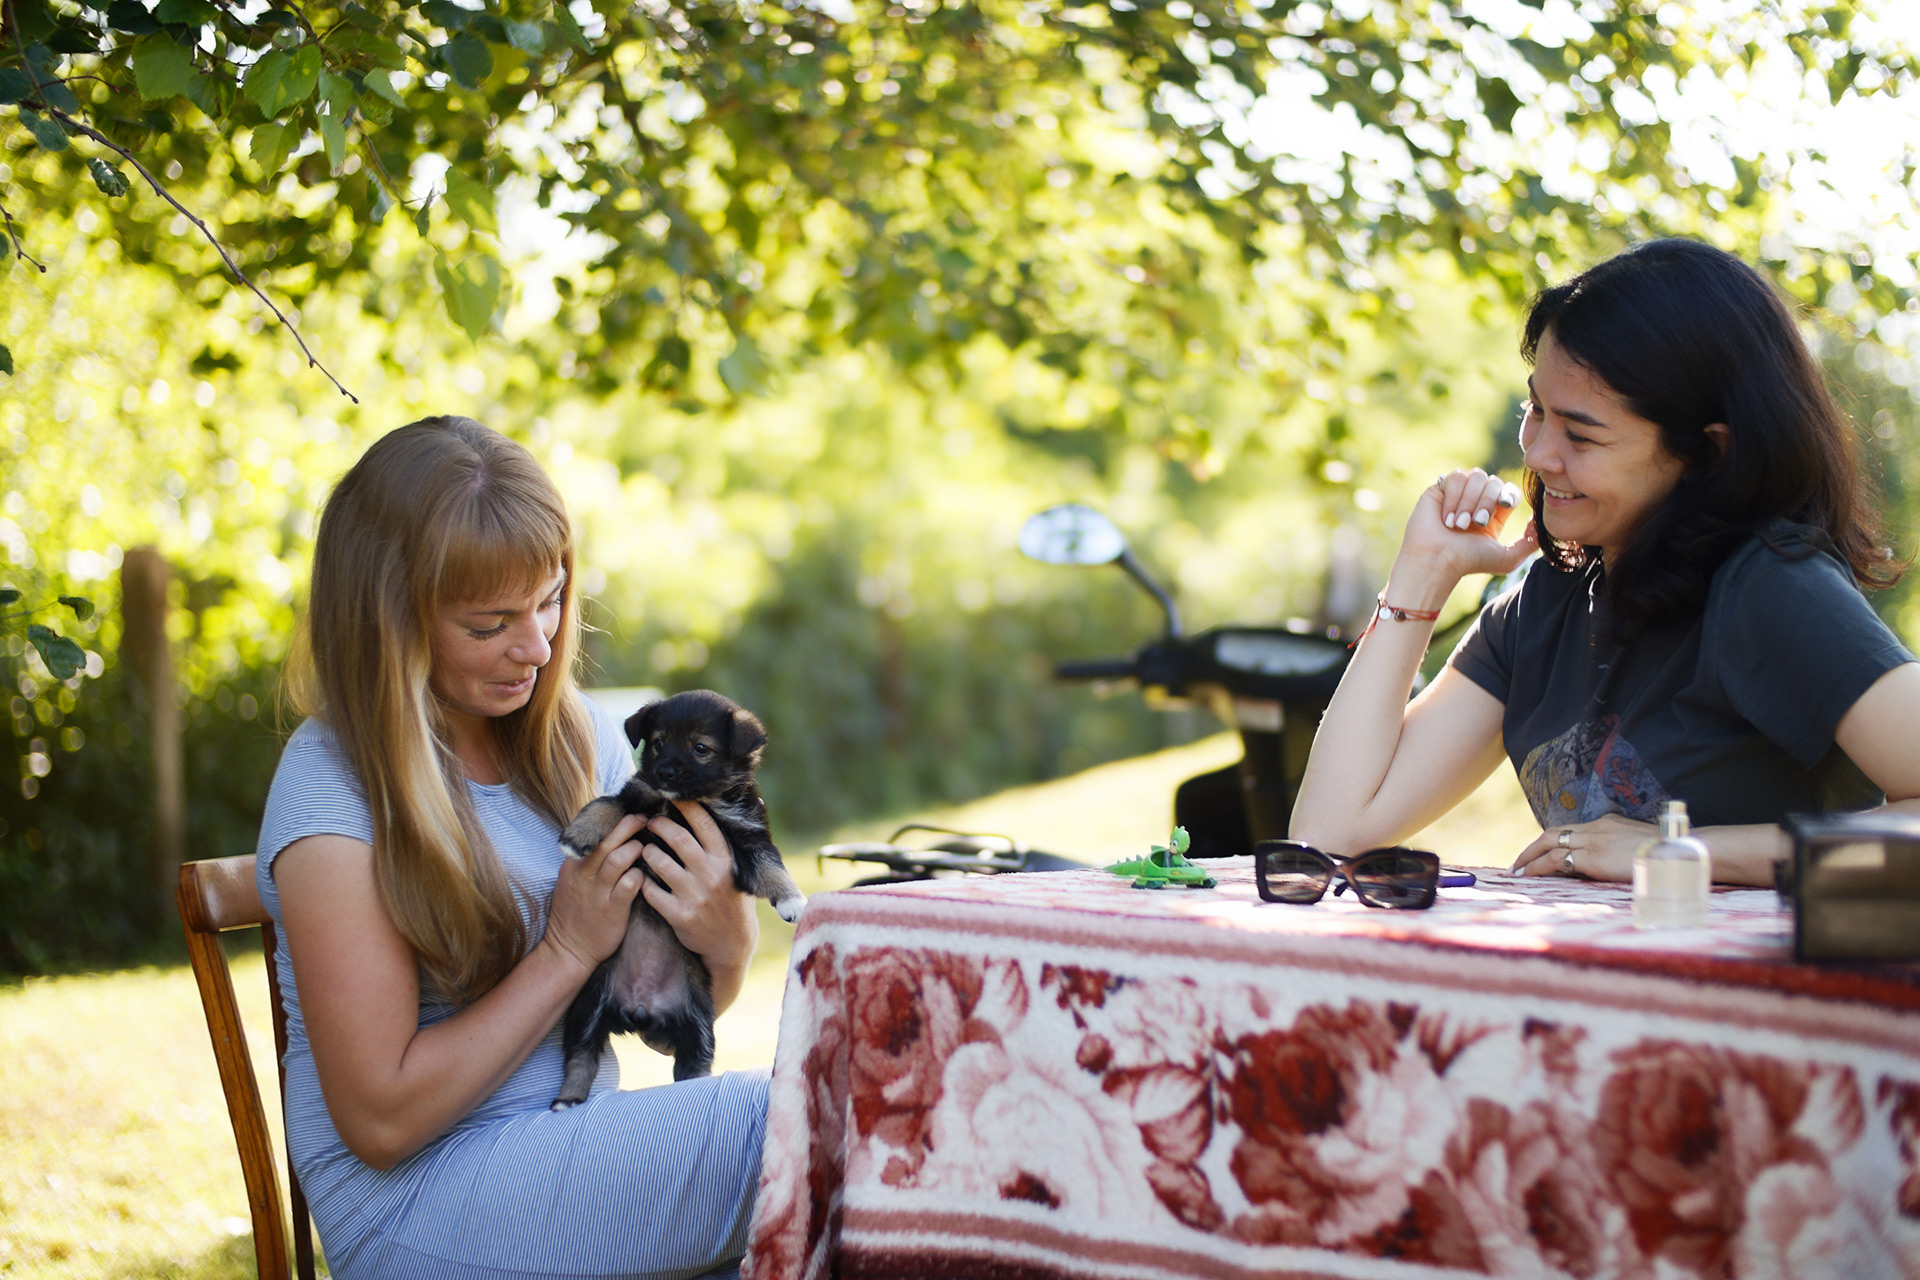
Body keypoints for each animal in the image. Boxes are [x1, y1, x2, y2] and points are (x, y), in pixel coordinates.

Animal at [550, 689, 804, 1107]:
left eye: (701, 748)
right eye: (658, 743)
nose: (666, 773)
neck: (690, 801)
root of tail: (640, 1009)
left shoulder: (747, 834)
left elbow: (771, 866)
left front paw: (793, 900)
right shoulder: (639, 797)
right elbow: (606, 804)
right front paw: (578, 836)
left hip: (699, 1024)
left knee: (692, 1066)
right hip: (589, 1002)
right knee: (582, 1054)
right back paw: (567, 1098)